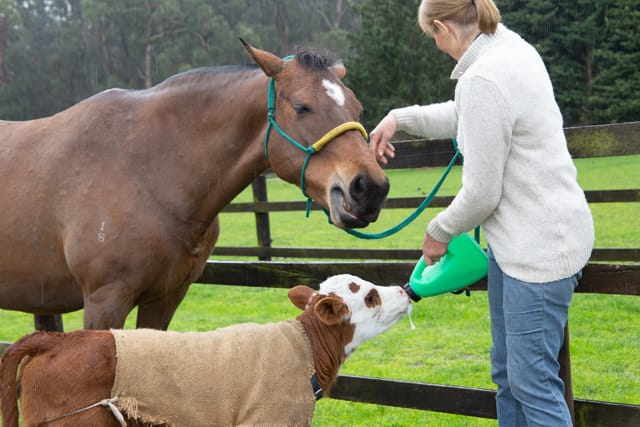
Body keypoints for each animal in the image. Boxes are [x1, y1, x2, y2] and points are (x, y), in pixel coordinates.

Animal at [0, 40, 389, 330]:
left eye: (357, 107)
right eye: (301, 107)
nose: (369, 188)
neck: (147, 170)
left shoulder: (165, 298)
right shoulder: (104, 302)